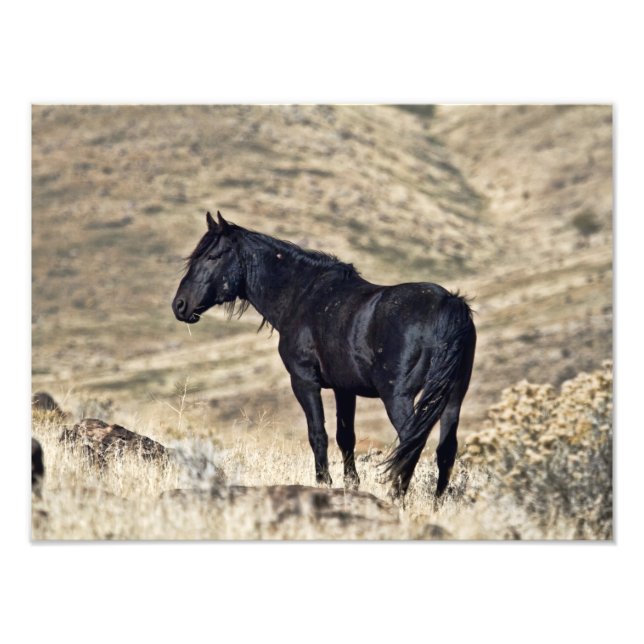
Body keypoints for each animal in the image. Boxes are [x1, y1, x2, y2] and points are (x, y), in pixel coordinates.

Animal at [172, 211, 476, 499]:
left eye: (213, 256)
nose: (180, 305)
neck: (302, 296)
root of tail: (448, 304)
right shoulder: (345, 389)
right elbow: (346, 437)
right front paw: (351, 485)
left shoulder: (304, 381)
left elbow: (318, 433)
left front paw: (323, 482)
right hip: (452, 397)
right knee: (445, 449)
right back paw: (437, 503)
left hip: (398, 396)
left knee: (412, 443)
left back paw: (396, 497)